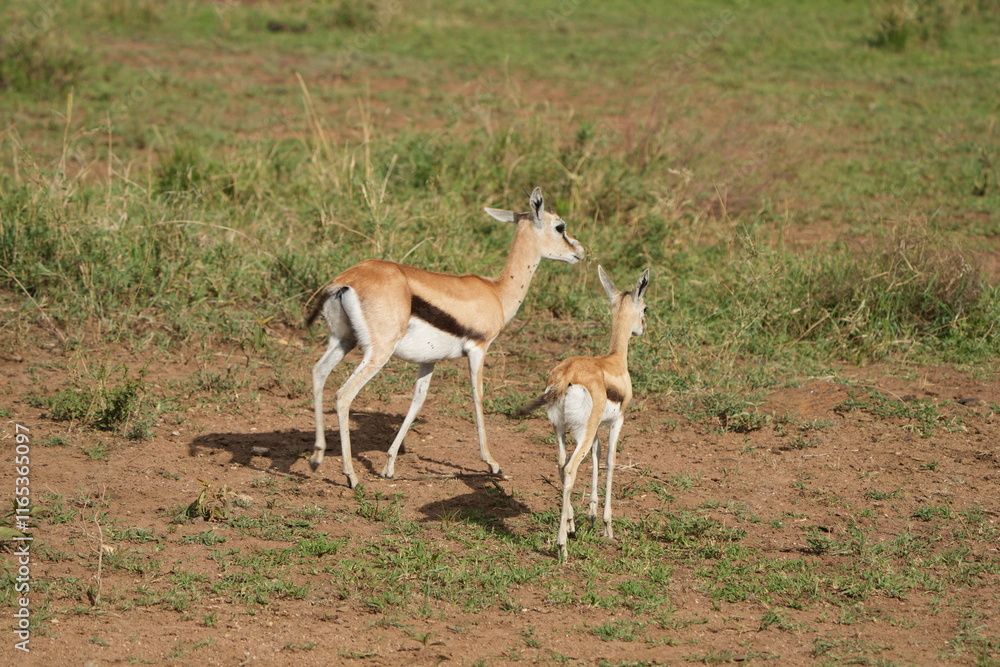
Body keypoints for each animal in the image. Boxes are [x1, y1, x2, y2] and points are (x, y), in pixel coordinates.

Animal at [306, 187, 585, 488]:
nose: (580, 251)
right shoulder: (478, 349)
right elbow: (477, 396)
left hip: (344, 341)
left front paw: (389, 465)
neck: (497, 292)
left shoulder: (429, 360)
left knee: (318, 372)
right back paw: (350, 475)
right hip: (377, 353)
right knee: (343, 395)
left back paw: (316, 457)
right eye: (560, 226)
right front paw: (492, 463)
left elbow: (417, 401)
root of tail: (347, 279)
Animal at [525, 266, 650, 561]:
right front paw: (606, 526)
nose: (642, 328)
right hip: (584, 428)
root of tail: (567, 375)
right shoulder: (617, 421)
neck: (614, 360)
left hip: (560, 429)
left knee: (561, 465)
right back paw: (562, 546)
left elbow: (596, 456)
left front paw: (590, 515)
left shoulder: (595, 431)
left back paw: (570, 525)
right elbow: (610, 461)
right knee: (570, 467)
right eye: (646, 308)